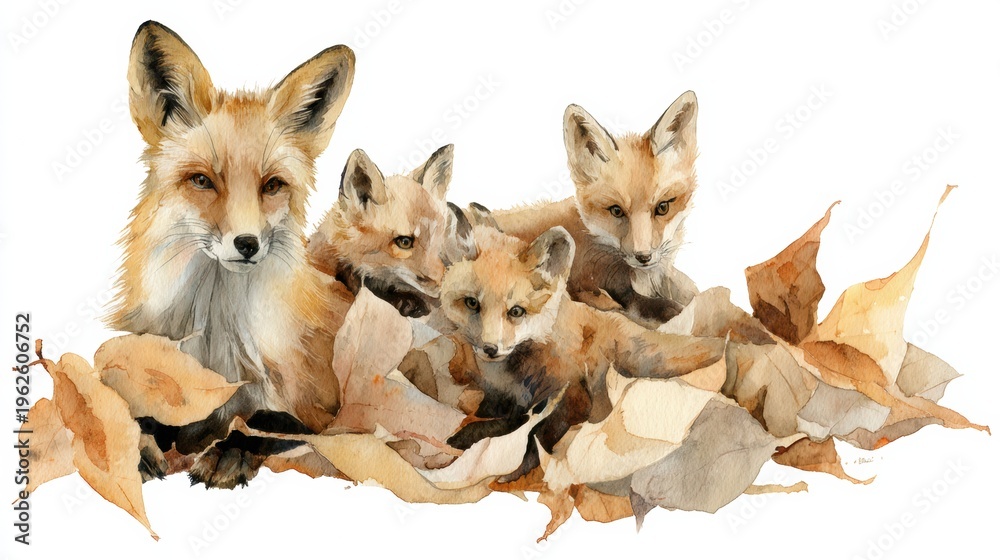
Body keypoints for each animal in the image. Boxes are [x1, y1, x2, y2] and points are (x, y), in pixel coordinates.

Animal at [107, 21, 356, 488]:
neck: (217, 336)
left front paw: (230, 451)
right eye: (202, 180)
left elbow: (266, 423)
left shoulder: (325, 413)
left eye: (272, 185)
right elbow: (140, 413)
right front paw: (134, 445)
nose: (247, 244)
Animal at [440, 224, 725, 482]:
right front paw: (467, 436)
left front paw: (515, 467)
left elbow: (535, 434)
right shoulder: (500, 397)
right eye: (472, 303)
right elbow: (496, 418)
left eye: (516, 311)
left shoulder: (574, 395)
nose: (490, 348)